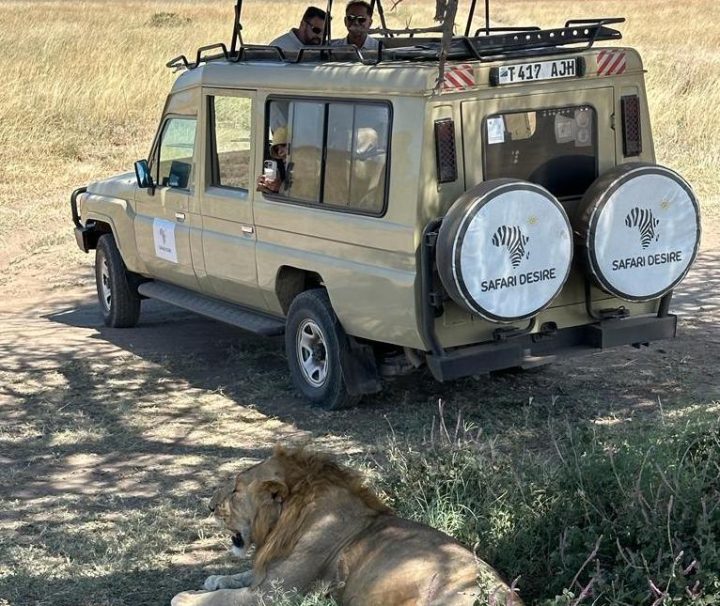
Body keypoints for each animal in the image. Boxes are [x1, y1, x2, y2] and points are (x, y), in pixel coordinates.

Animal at [174, 446, 524, 606]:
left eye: (234, 490)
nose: (208, 506)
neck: (282, 527)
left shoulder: (275, 594)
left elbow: (223, 598)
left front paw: (186, 597)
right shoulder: (269, 574)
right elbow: (241, 576)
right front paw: (214, 578)